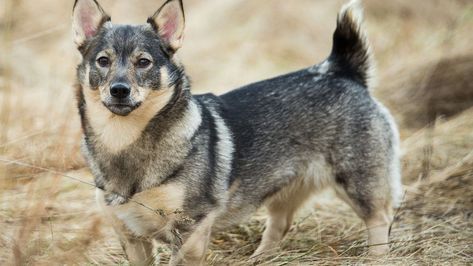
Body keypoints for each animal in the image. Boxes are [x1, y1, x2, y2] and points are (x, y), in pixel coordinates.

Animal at [73, 0, 402, 264]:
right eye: (103, 61)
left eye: (143, 62)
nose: (119, 90)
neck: (125, 141)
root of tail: (341, 70)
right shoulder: (131, 237)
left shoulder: (190, 230)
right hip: (285, 190)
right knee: (279, 225)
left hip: (359, 183)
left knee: (380, 220)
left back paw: (377, 258)